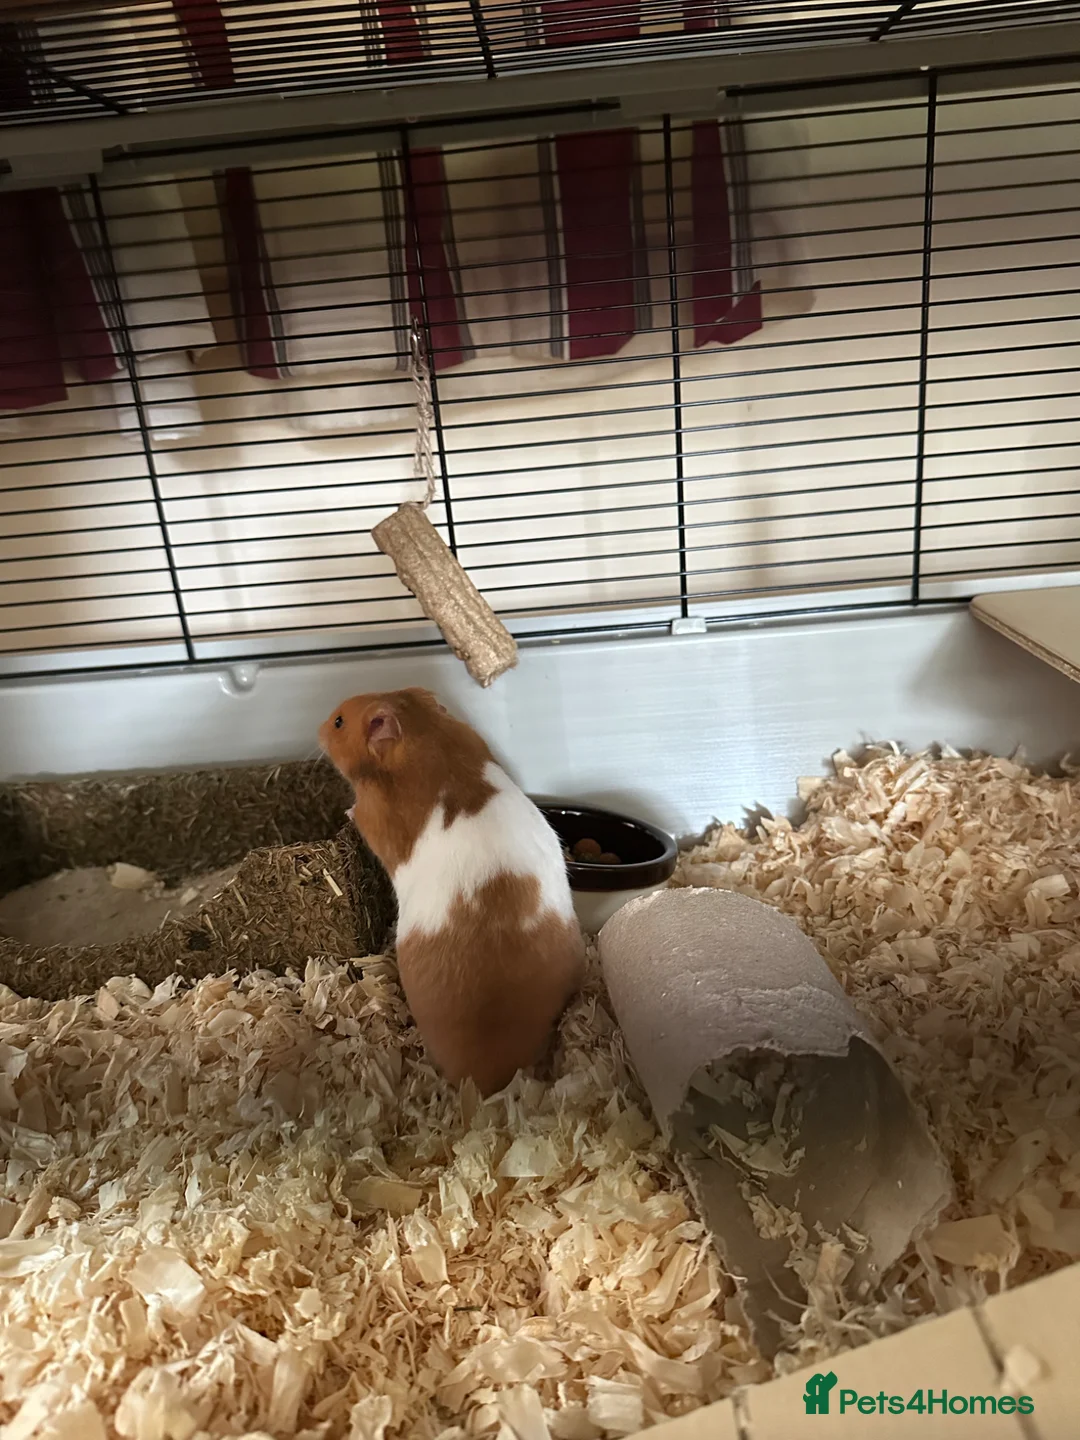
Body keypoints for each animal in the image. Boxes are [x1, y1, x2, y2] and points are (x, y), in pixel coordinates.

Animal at [319, 687, 586, 1097]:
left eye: (338, 722)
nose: (317, 729)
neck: (425, 735)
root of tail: (492, 1075)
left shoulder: (374, 813)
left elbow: (358, 814)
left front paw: (345, 811)